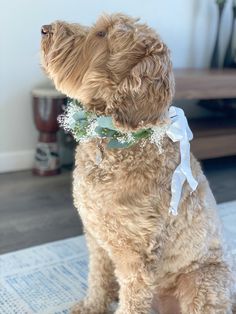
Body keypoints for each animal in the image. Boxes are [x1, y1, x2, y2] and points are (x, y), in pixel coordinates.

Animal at [40, 12, 234, 314]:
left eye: (102, 35)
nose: (44, 29)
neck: (115, 140)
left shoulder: (136, 254)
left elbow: (131, 299)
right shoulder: (96, 239)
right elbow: (97, 276)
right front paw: (93, 305)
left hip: (202, 281)